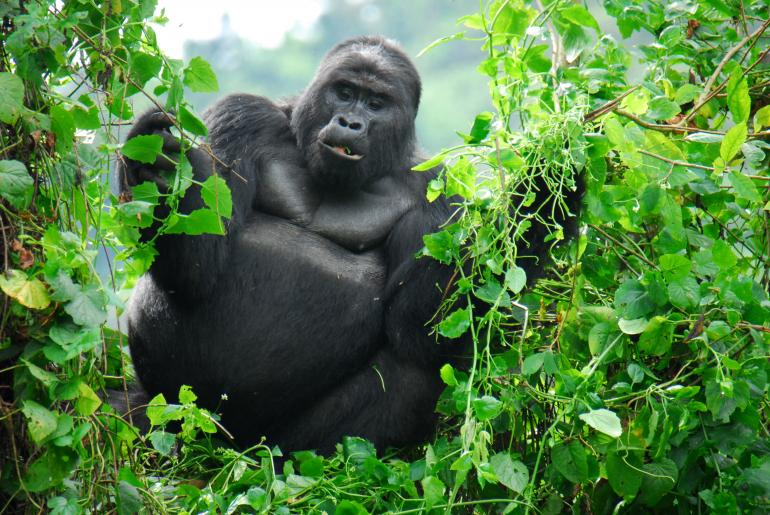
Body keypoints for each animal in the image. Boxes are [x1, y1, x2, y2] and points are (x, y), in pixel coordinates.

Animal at [118, 37, 462, 456]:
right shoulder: (242, 116)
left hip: (279, 441)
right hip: (181, 407)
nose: (350, 122)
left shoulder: (439, 191)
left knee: (414, 366)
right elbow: (199, 269)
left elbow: (418, 327)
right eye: (344, 93)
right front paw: (154, 167)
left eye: (376, 103)